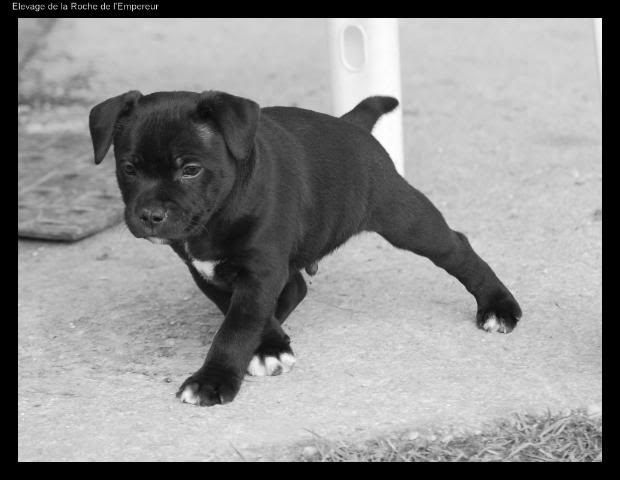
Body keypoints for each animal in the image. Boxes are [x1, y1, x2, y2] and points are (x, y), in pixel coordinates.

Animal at [88, 89, 524, 404]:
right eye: (128, 168)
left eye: (191, 169)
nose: (150, 215)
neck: (217, 216)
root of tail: (351, 125)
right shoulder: (209, 271)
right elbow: (240, 313)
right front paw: (268, 345)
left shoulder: (260, 270)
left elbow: (238, 325)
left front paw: (213, 380)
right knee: (295, 287)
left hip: (405, 217)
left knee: (455, 248)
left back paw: (498, 306)